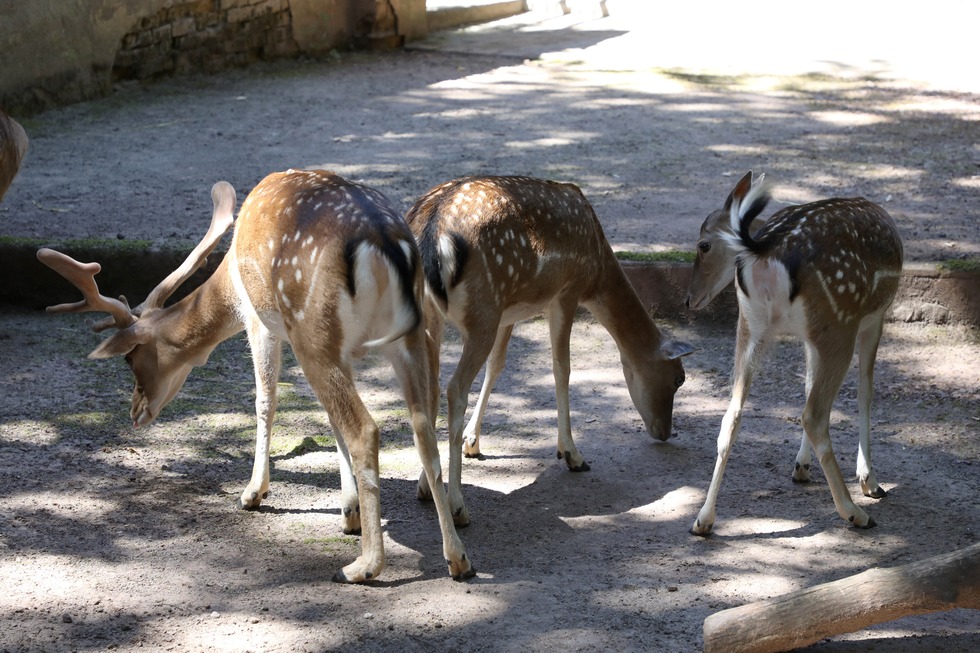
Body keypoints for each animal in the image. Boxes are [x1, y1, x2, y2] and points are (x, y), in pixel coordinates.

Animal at [40, 168, 476, 580]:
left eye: (129, 360)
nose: (135, 412)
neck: (230, 277)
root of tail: (384, 244)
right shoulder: (342, 352)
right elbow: (329, 420)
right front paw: (348, 512)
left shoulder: (259, 321)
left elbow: (265, 400)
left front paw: (252, 492)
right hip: (408, 335)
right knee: (421, 424)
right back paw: (457, 557)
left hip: (312, 333)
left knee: (365, 429)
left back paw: (363, 566)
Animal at [406, 176, 696, 528]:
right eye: (679, 379)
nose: (665, 433)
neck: (597, 271)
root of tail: (431, 234)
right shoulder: (566, 292)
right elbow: (562, 367)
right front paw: (572, 454)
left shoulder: (510, 312)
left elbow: (497, 365)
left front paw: (472, 443)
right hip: (482, 311)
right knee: (454, 387)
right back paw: (459, 507)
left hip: (438, 317)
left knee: (431, 388)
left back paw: (424, 486)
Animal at [680, 173, 904, 536]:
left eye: (703, 244)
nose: (688, 299)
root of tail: (764, 252)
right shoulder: (874, 318)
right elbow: (865, 392)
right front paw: (870, 481)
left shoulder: (808, 337)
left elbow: (807, 382)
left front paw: (801, 467)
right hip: (839, 320)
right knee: (814, 414)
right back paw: (856, 513)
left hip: (750, 324)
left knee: (732, 414)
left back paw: (702, 520)